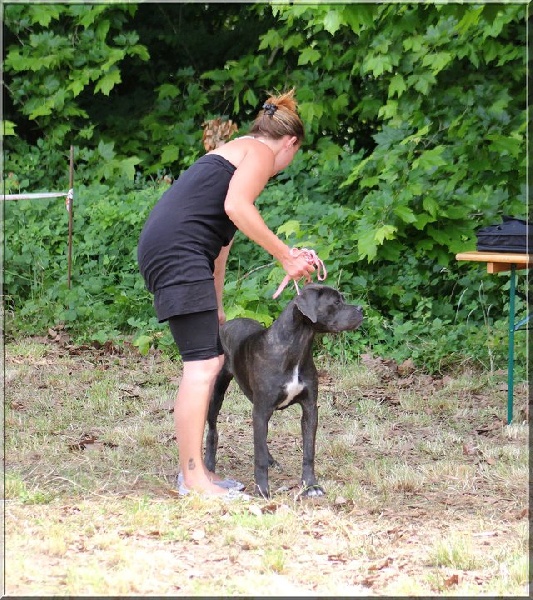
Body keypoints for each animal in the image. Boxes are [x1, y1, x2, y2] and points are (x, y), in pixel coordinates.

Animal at [204, 284, 362, 500]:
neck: (297, 346)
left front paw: (311, 485)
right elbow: (259, 456)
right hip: (216, 393)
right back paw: (209, 466)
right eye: (336, 302)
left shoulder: (309, 408)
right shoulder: (262, 410)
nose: (361, 309)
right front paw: (262, 490)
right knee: (213, 430)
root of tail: (225, 325)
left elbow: (308, 451)